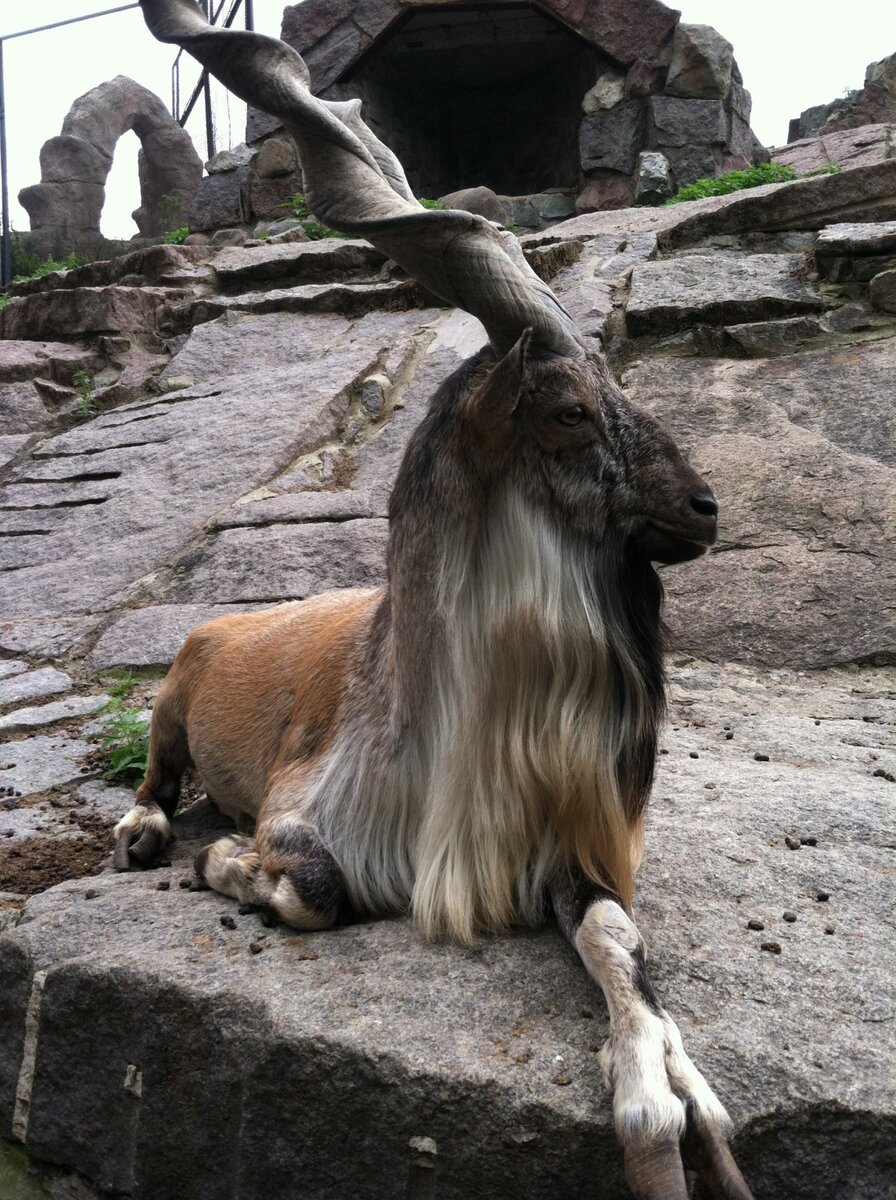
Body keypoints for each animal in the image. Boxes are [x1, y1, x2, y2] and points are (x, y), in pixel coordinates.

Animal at [113, 4, 758, 1195]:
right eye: (566, 410)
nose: (702, 508)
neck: (444, 732)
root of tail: (220, 623)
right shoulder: (310, 814)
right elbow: (314, 889)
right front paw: (224, 862)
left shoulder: (562, 852)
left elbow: (618, 941)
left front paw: (670, 1095)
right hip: (172, 704)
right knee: (154, 774)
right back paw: (146, 832)